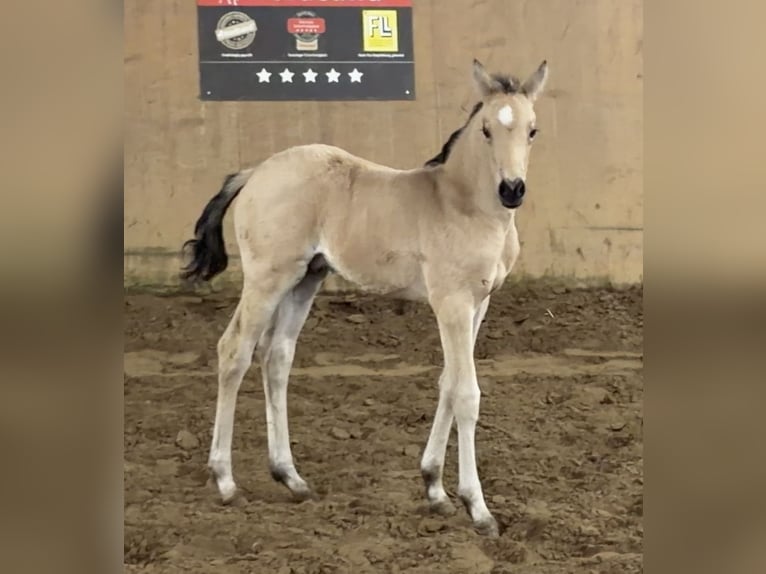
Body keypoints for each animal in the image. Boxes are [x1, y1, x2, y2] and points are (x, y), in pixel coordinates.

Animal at [181, 59, 549, 537]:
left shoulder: (478, 303)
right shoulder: (451, 301)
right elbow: (466, 393)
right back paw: (225, 481)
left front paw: (434, 488)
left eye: (532, 129)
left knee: (276, 357)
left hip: (307, 278)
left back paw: (291, 477)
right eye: (486, 129)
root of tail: (255, 172)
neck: (462, 205)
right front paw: (478, 508)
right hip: (268, 277)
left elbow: (447, 383)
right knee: (234, 351)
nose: (512, 190)